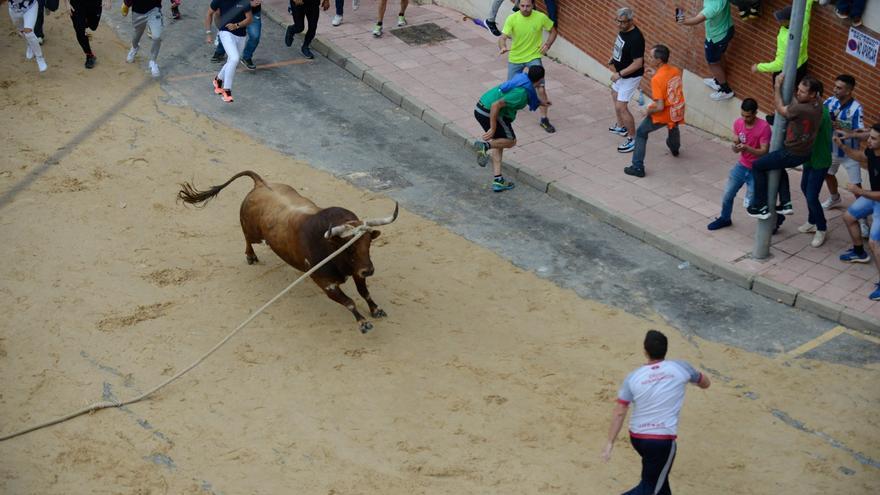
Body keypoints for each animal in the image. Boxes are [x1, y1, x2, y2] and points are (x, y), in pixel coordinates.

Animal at [177, 169, 398, 336]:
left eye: (368, 243)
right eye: (350, 246)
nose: (369, 270)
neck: (332, 249)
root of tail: (260, 184)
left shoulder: (357, 271)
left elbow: (364, 292)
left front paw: (376, 310)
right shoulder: (326, 283)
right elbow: (350, 302)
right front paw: (363, 323)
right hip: (253, 232)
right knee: (247, 238)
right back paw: (251, 256)